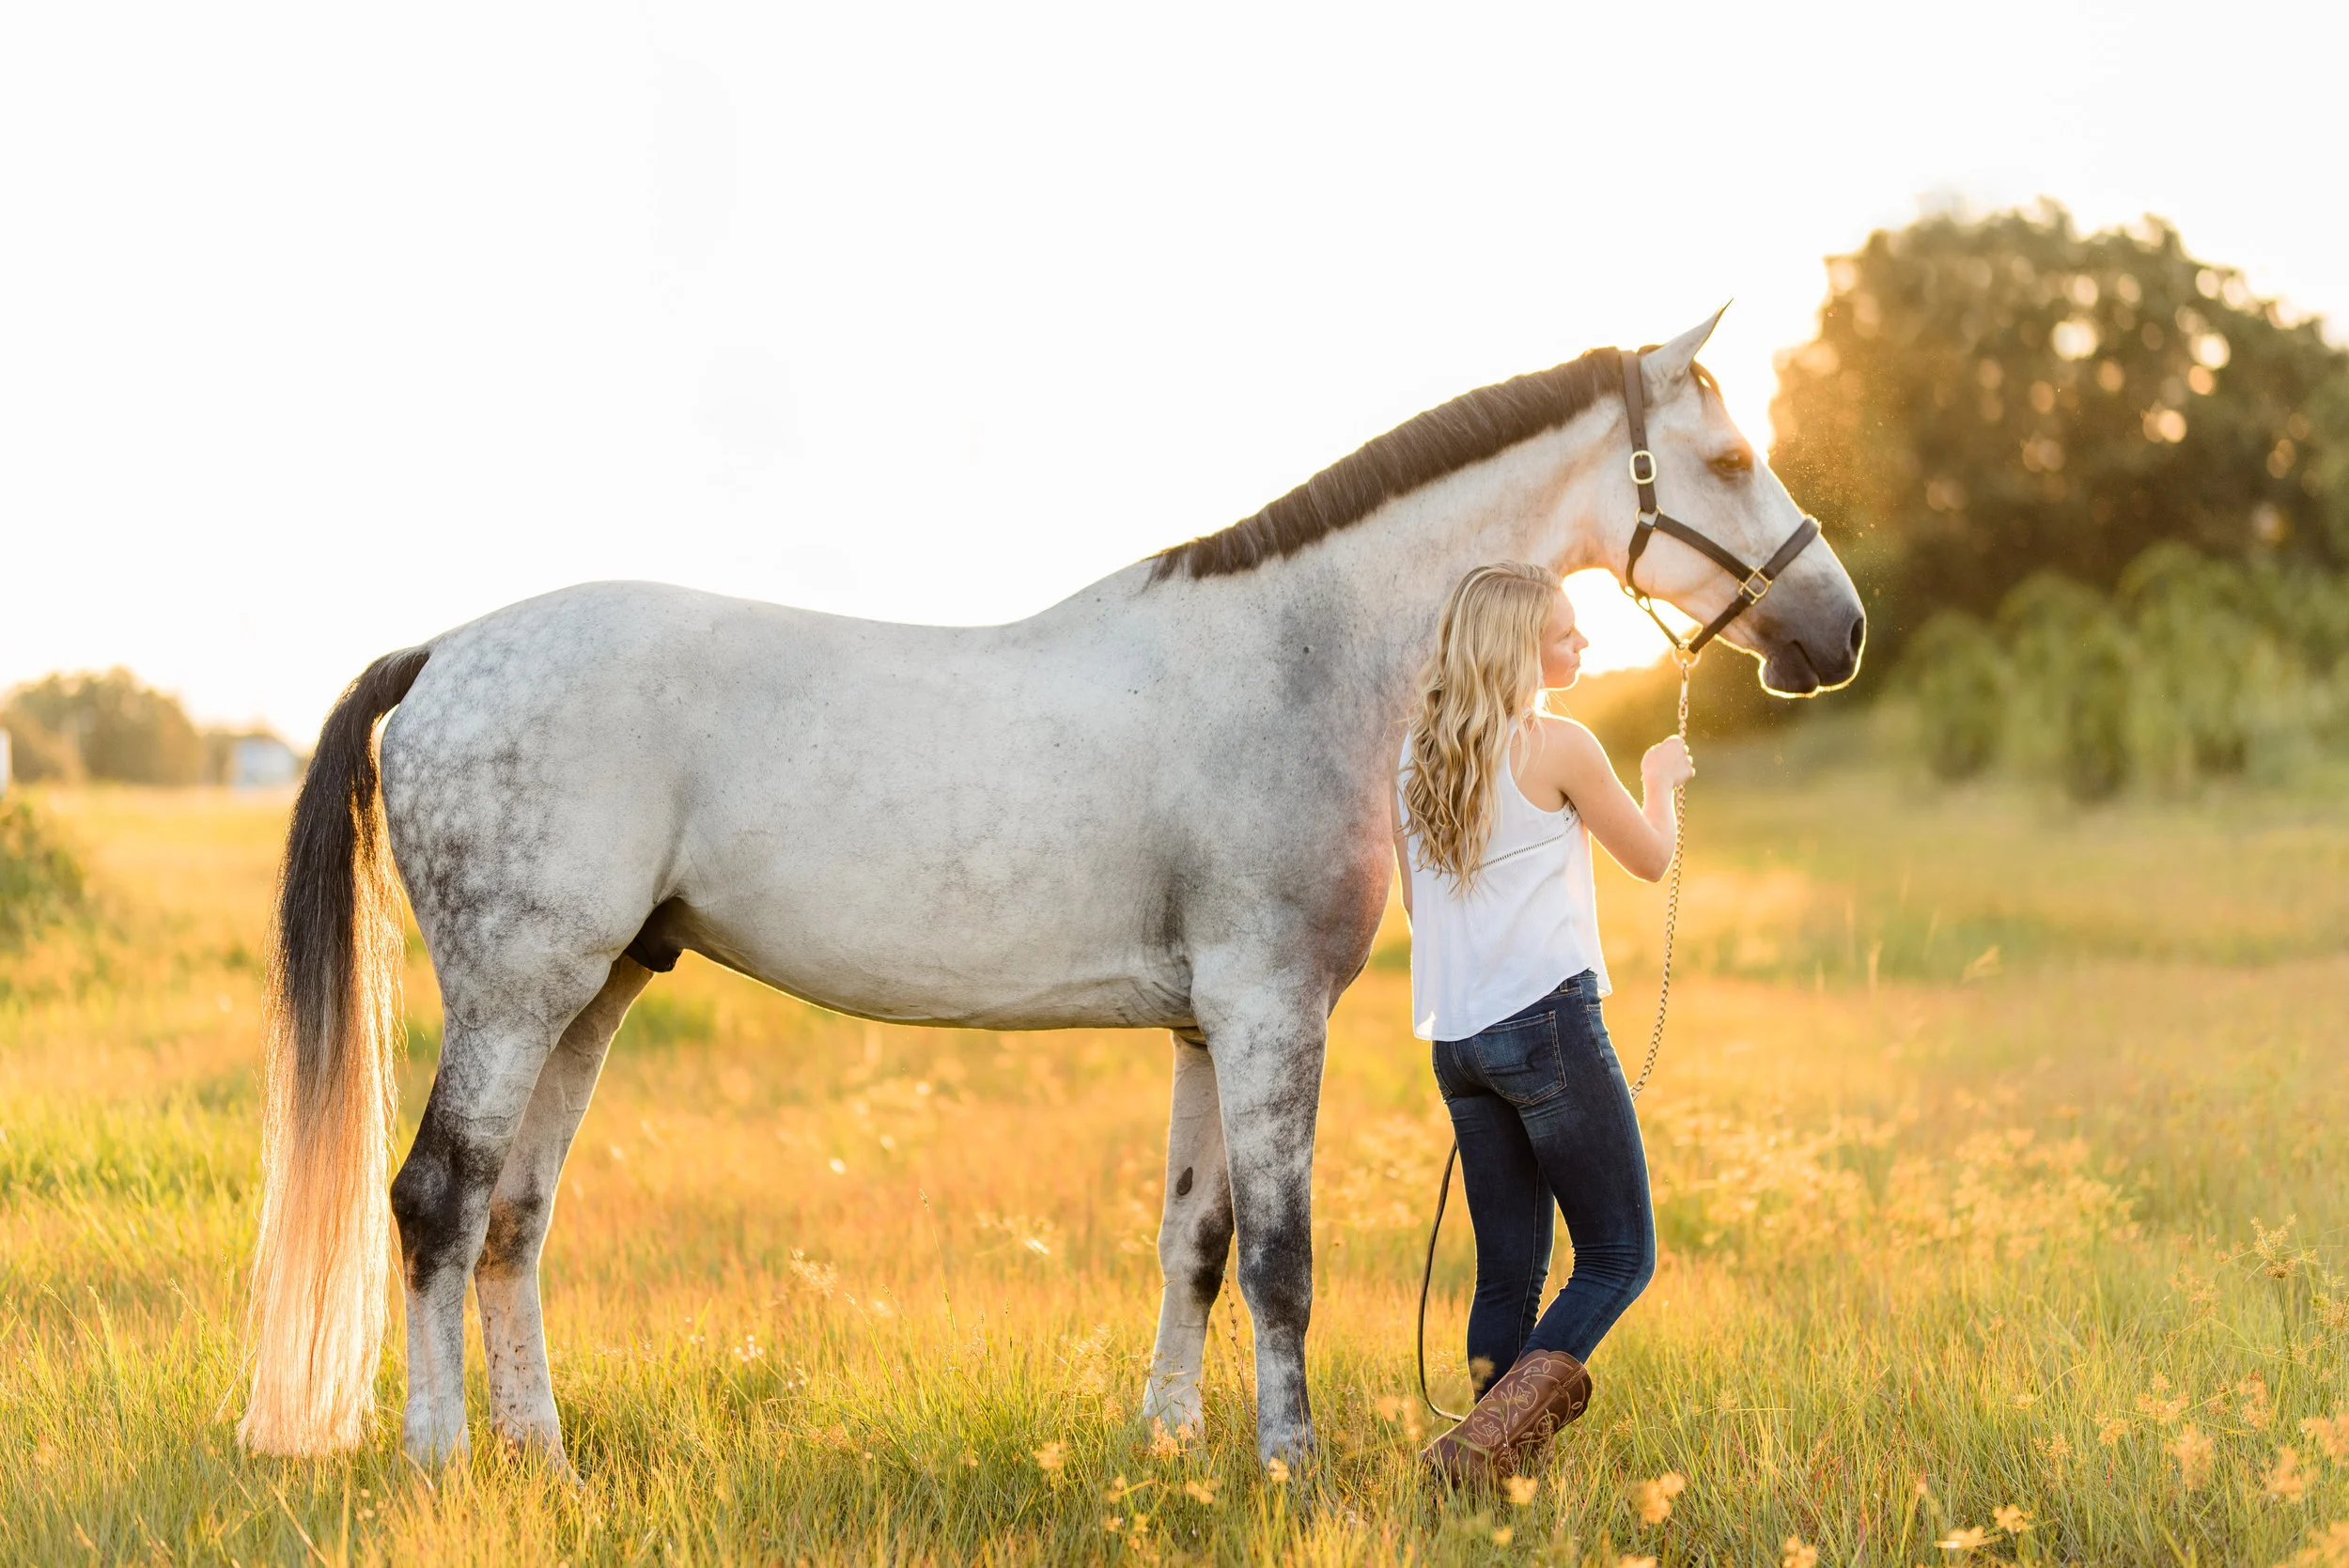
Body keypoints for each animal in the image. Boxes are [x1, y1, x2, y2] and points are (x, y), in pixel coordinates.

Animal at [238, 307, 1864, 1468]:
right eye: (1730, 463)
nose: (1835, 629)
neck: (1302, 657)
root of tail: (441, 650)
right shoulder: (1273, 1014)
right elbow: (1282, 1257)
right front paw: (1293, 1467)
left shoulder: (1211, 1027)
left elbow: (1195, 1243)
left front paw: (1174, 1445)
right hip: (517, 994)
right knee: (438, 1204)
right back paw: (443, 1460)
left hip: (594, 992)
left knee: (516, 1216)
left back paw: (546, 1457)